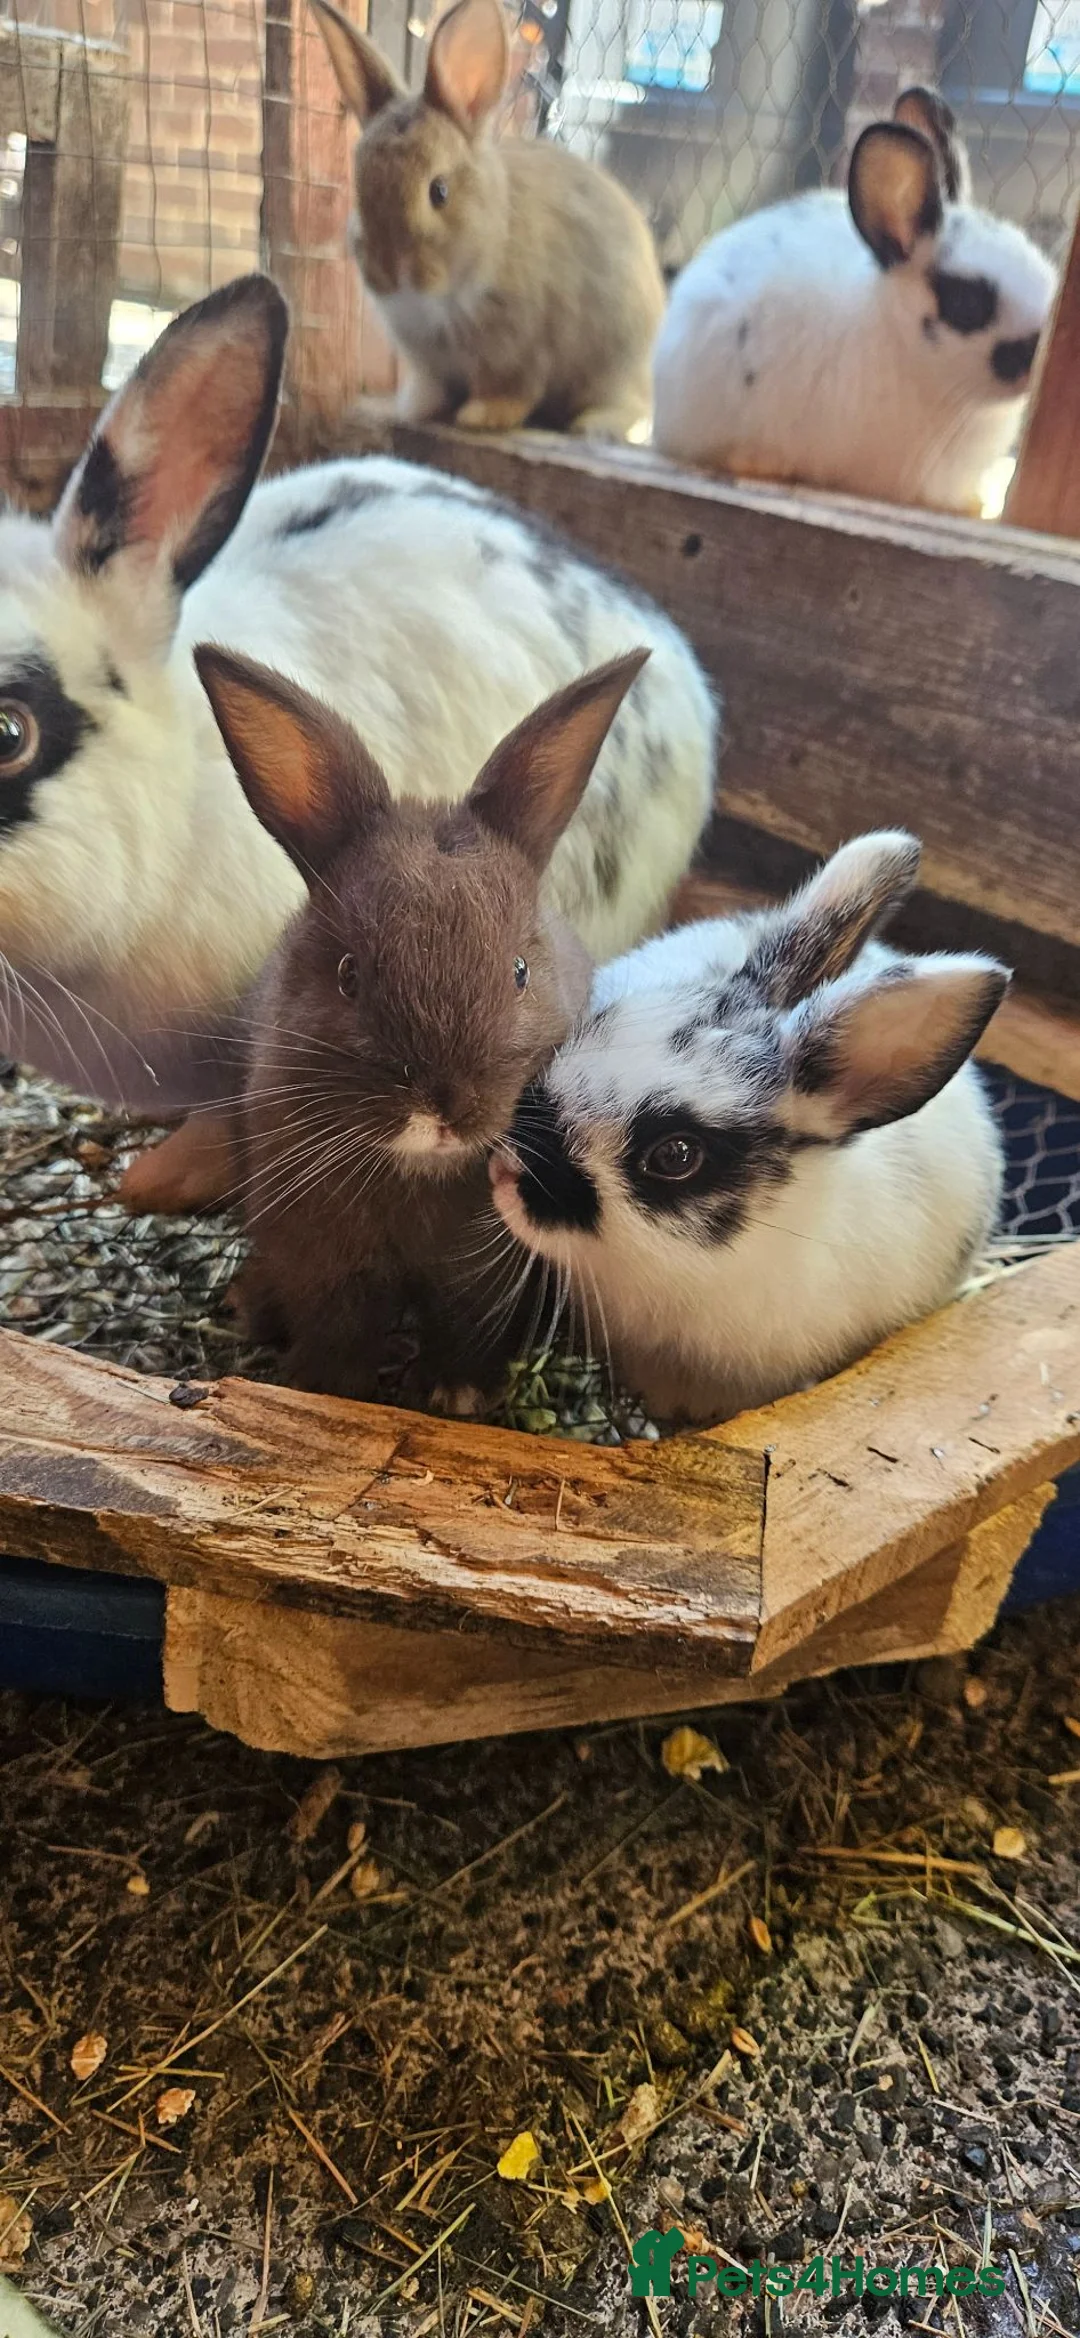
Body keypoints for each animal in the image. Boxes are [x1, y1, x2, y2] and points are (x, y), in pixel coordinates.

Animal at [195, 640, 647, 1402]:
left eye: (519, 973)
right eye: (348, 975)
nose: (444, 1107)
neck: (417, 1172)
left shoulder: (480, 1277)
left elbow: (466, 1330)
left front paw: (456, 1397)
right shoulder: (323, 1262)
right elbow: (337, 1329)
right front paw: (325, 1389)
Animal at [310, 0, 666, 438]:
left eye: (439, 191)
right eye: (359, 190)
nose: (388, 274)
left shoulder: (520, 352)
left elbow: (511, 389)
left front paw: (479, 417)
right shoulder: (428, 363)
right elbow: (433, 387)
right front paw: (415, 408)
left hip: (618, 363)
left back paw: (594, 423)